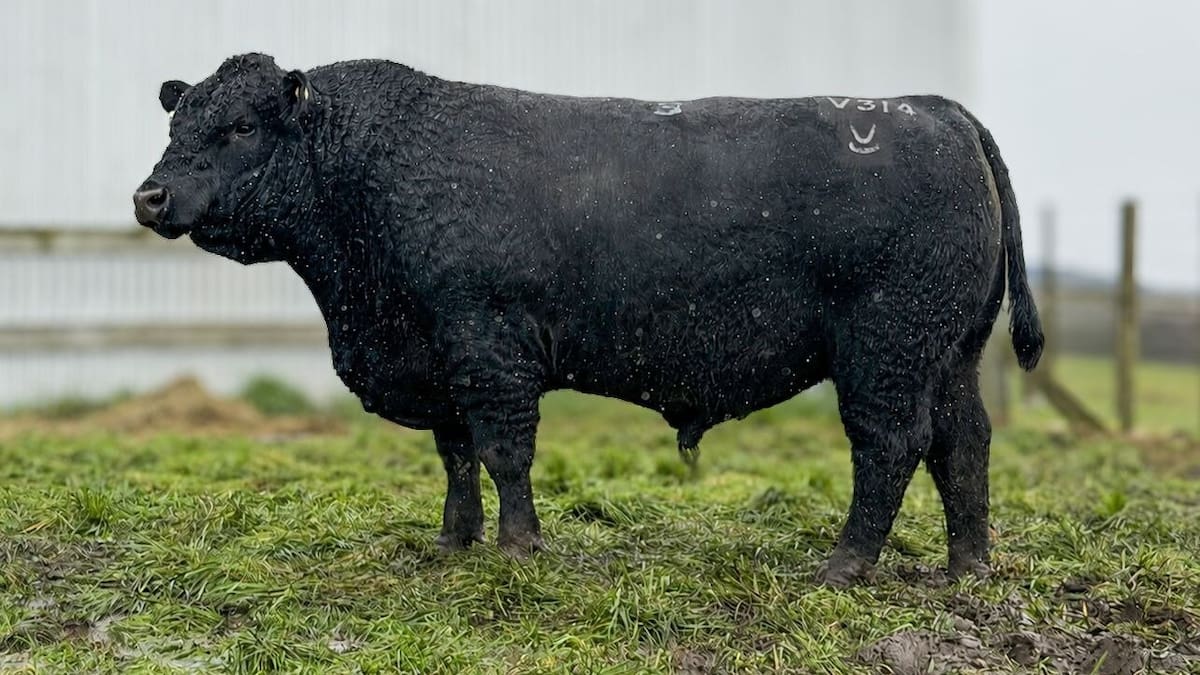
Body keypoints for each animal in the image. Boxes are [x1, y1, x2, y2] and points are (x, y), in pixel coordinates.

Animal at [134, 54, 1042, 587]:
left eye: (240, 124)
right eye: (175, 122)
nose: (150, 195)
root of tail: (926, 106)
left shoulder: (487, 344)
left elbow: (503, 452)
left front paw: (519, 548)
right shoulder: (440, 356)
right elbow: (455, 456)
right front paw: (453, 543)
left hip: (887, 349)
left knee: (892, 445)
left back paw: (842, 567)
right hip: (948, 353)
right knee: (964, 443)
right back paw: (967, 569)